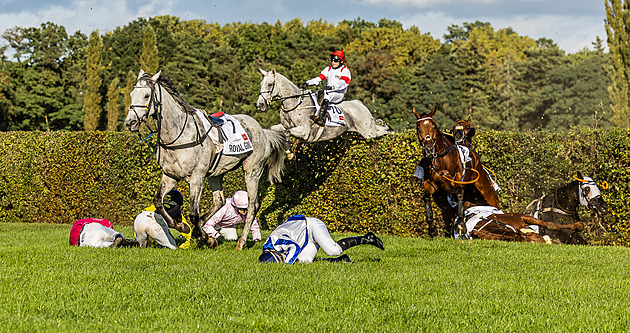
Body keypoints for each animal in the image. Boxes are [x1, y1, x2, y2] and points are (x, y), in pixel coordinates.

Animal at [124, 70, 288, 252]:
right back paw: (199, 229)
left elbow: (193, 214)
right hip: (216, 174)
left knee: (253, 205)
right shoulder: (170, 175)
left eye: (146, 95)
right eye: (131, 94)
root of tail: (263, 131)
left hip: (252, 172)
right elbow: (158, 202)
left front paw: (208, 239)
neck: (177, 135)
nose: (130, 122)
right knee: (220, 200)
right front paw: (182, 226)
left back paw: (240, 243)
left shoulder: (197, 178)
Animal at [414, 107, 504, 236]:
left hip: (485, 188)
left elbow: (460, 197)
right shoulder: (430, 183)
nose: (429, 148)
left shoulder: (459, 182)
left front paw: (462, 226)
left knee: (494, 203)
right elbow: (426, 197)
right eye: (418, 128)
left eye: (433, 127)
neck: (441, 159)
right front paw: (432, 228)